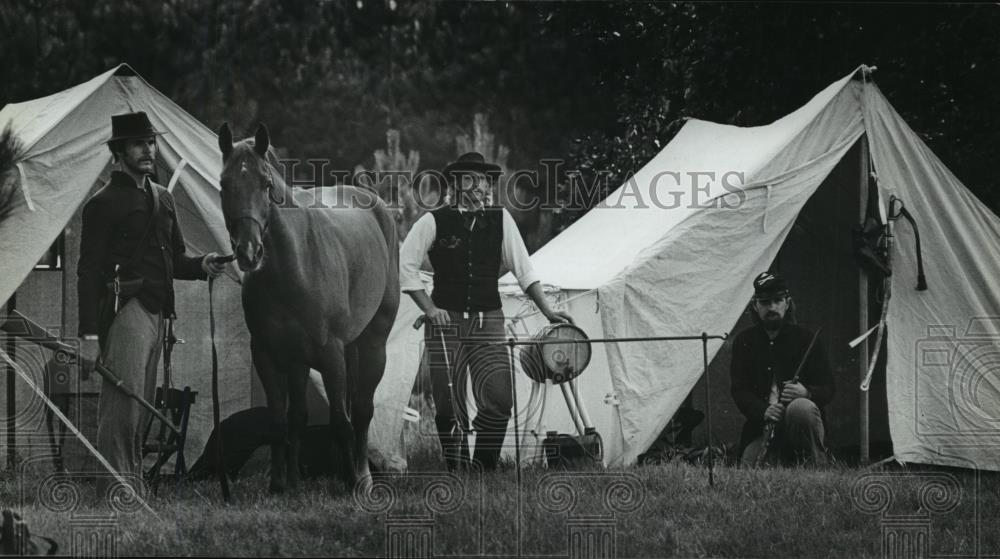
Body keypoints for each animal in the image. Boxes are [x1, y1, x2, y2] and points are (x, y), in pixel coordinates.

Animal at [218, 124, 398, 492]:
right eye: (224, 184)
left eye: (266, 184)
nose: (248, 252)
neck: (293, 267)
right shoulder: (268, 355)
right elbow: (279, 421)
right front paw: (280, 486)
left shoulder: (331, 354)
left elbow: (340, 421)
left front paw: (354, 484)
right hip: (302, 361)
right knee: (301, 415)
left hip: (371, 345)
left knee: (360, 410)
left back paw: (361, 476)